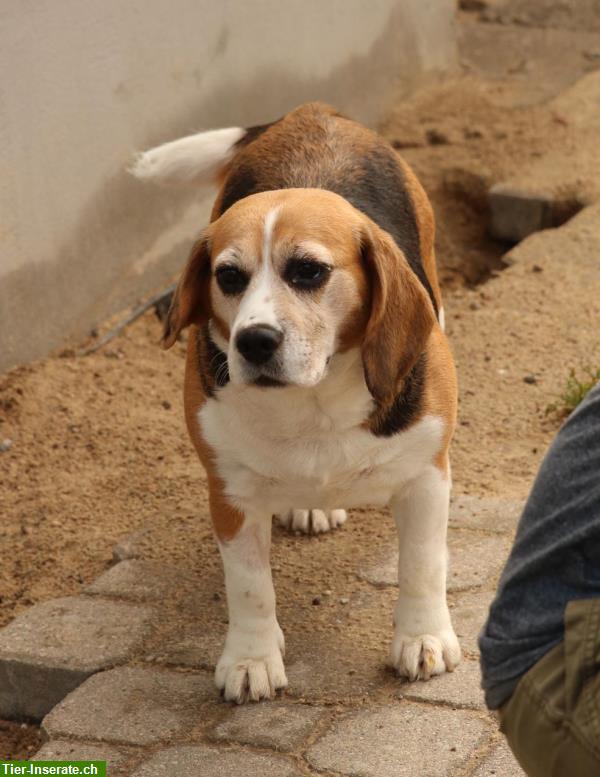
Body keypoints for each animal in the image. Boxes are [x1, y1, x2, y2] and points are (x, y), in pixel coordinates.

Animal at [131, 103, 460, 704]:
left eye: (309, 271)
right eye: (228, 276)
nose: (254, 341)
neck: (314, 399)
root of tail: (312, 112)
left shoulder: (426, 475)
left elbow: (423, 565)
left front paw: (422, 637)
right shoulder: (230, 492)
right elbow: (249, 588)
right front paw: (251, 658)